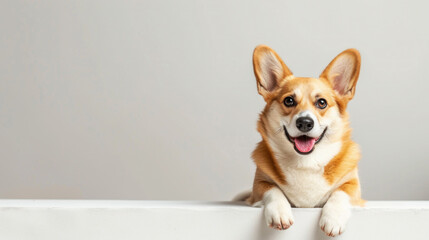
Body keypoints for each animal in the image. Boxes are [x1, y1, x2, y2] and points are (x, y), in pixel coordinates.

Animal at [246, 45, 362, 236]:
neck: (306, 161)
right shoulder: (258, 187)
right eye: (289, 100)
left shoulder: (353, 187)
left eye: (322, 103)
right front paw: (280, 213)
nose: (305, 122)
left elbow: (341, 193)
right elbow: (272, 189)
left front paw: (333, 219)